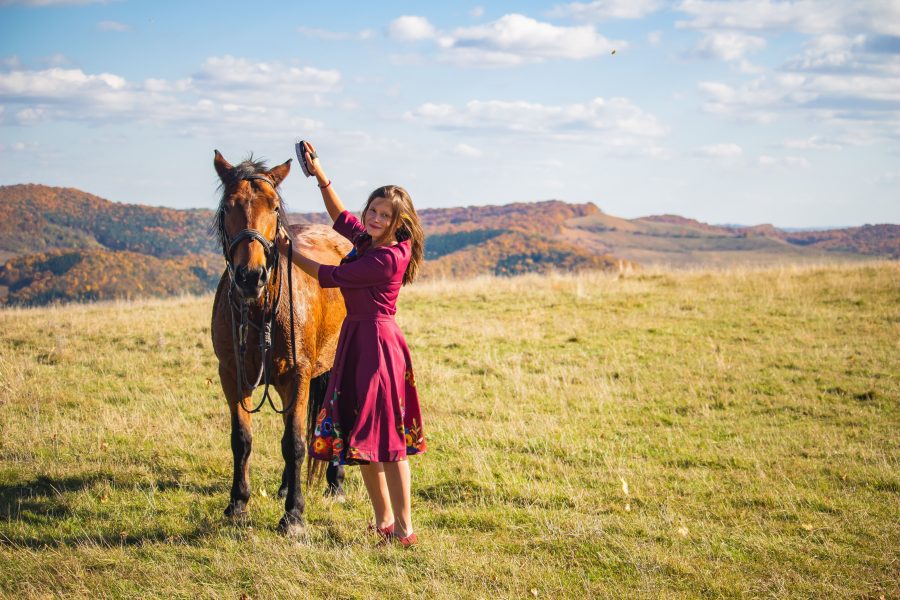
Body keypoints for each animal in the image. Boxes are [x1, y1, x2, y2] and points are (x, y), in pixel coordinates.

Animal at [211, 150, 352, 536]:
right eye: (227, 207)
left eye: (274, 207)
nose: (250, 276)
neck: (259, 311)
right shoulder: (233, 374)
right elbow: (241, 440)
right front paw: (238, 504)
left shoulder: (299, 376)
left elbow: (295, 443)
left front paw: (294, 516)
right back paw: (286, 486)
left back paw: (334, 485)